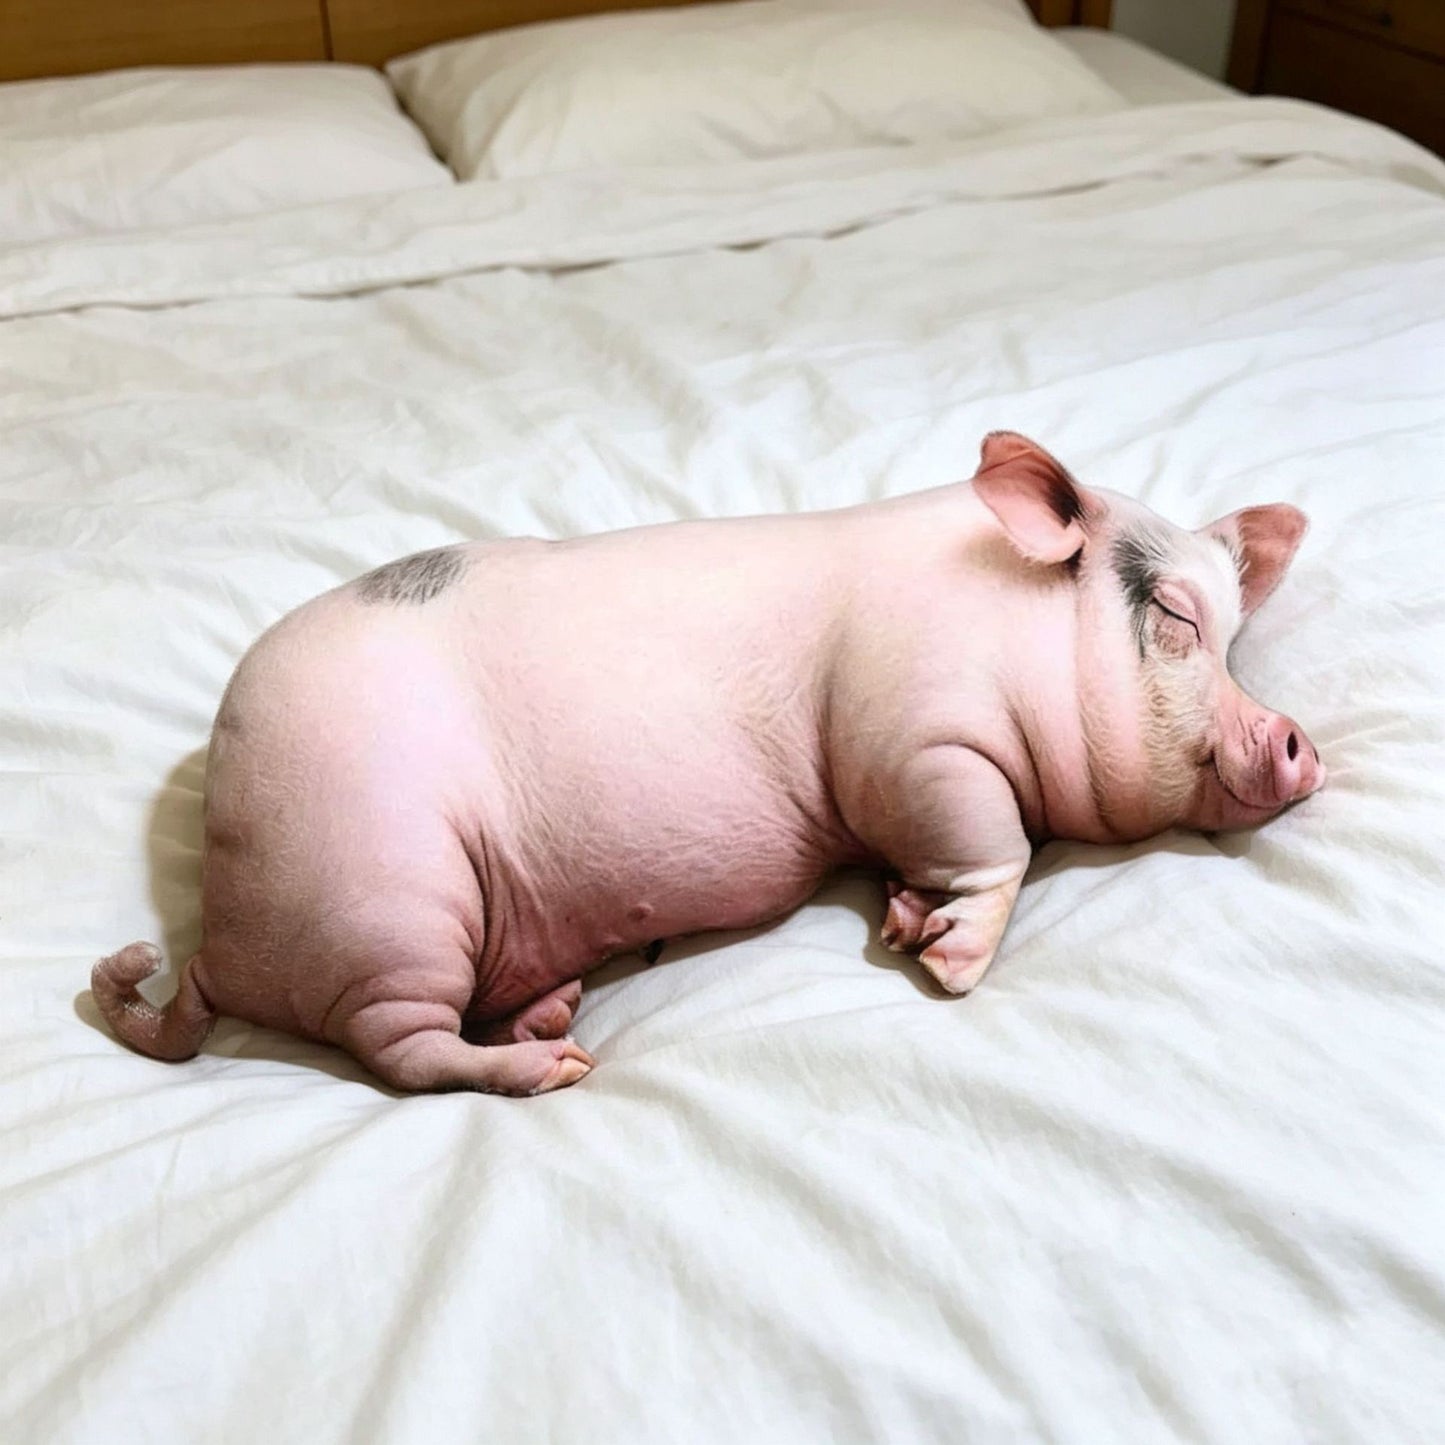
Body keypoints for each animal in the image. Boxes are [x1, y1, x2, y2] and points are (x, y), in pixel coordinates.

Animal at [92, 433, 1324, 1095]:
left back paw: (550, 1010)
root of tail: (221, 940)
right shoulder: (911, 734)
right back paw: (558, 1066)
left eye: (1233, 638)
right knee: (404, 1049)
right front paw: (947, 960)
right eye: (1173, 617)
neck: (1013, 628)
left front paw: (901, 918)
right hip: (385, 895)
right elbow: (994, 841)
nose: (1297, 738)